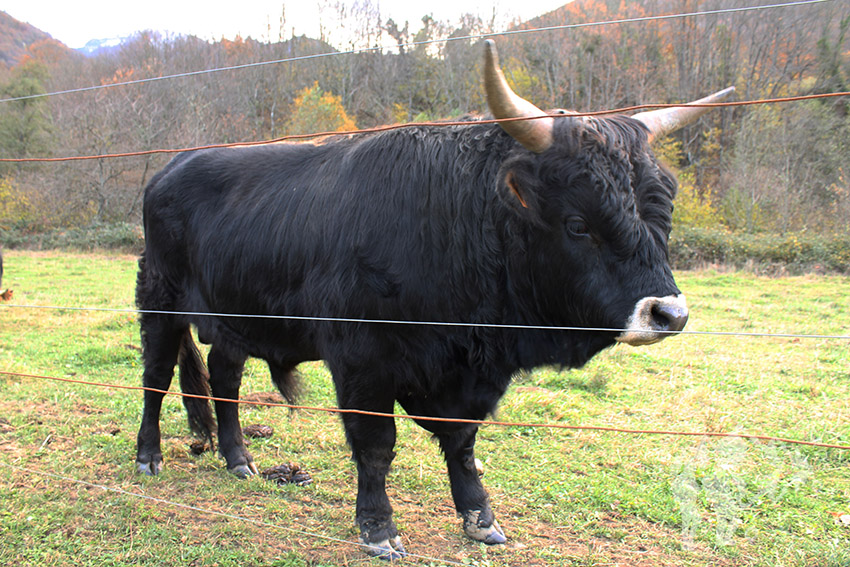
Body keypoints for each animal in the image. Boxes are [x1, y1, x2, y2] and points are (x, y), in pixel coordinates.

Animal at [136, 43, 724, 560]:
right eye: (579, 223)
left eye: (662, 214)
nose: (670, 314)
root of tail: (170, 167)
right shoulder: (363, 361)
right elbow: (376, 445)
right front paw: (378, 529)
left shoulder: (463, 376)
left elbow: (462, 444)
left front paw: (481, 519)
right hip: (159, 302)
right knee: (157, 378)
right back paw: (148, 456)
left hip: (233, 320)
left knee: (225, 379)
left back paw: (239, 460)